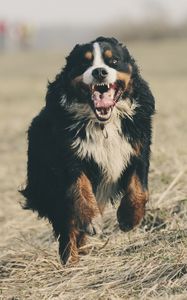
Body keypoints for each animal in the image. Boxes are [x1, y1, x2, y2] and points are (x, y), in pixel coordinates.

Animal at [20, 36, 155, 264]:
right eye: (84, 63)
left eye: (113, 61)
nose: (99, 71)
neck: (103, 124)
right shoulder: (68, 157)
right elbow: (80, 189)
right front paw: (91, 220)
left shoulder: (138, 148)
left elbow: (140, 189)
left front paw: (129, 218)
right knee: (68, 226)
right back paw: (71, 260)